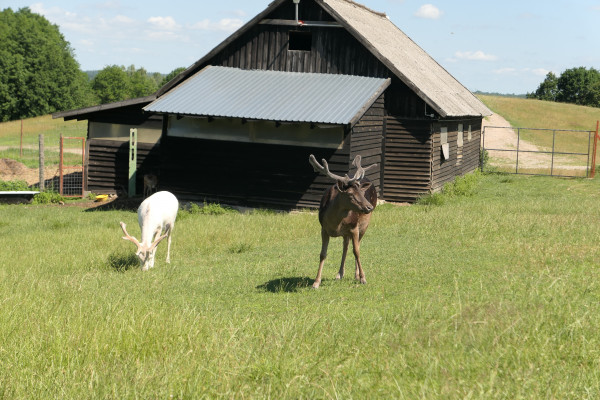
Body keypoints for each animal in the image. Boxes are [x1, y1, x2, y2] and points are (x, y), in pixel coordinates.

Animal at [310, 155, 376, 290]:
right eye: (350, 194)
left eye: (361, 192)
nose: (369, 207)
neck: (336, 223)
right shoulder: (324, 229)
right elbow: (322, 254)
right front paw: (316, 282)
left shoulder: (354, 227)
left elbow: (357, 251)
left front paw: (363, 278)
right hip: (346, 233)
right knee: (345, 246)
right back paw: (339, 273)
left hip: (364, 226)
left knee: (356, 245)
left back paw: (356, 275)